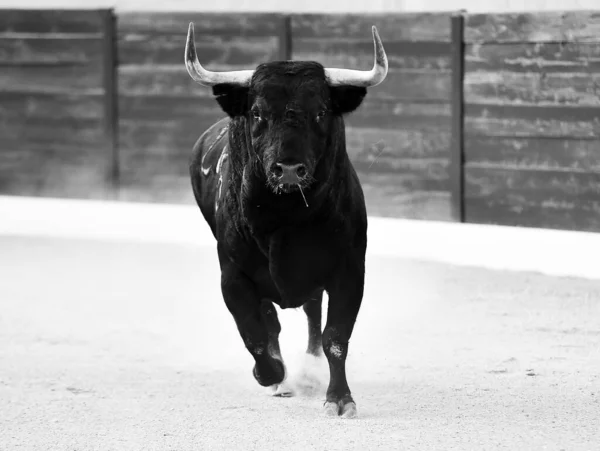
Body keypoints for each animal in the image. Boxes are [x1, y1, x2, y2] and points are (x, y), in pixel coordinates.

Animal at [184, 20, 390, 416]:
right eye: (258, 113)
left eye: (321, 112)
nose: (290, 169)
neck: (286, 218)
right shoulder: (232, 276)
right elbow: (255, 336)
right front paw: (271, 376)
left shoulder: (349, 269)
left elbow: (335, 337)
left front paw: (339, 398)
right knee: (270, 323)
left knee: (312, 314)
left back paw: (309, 370)